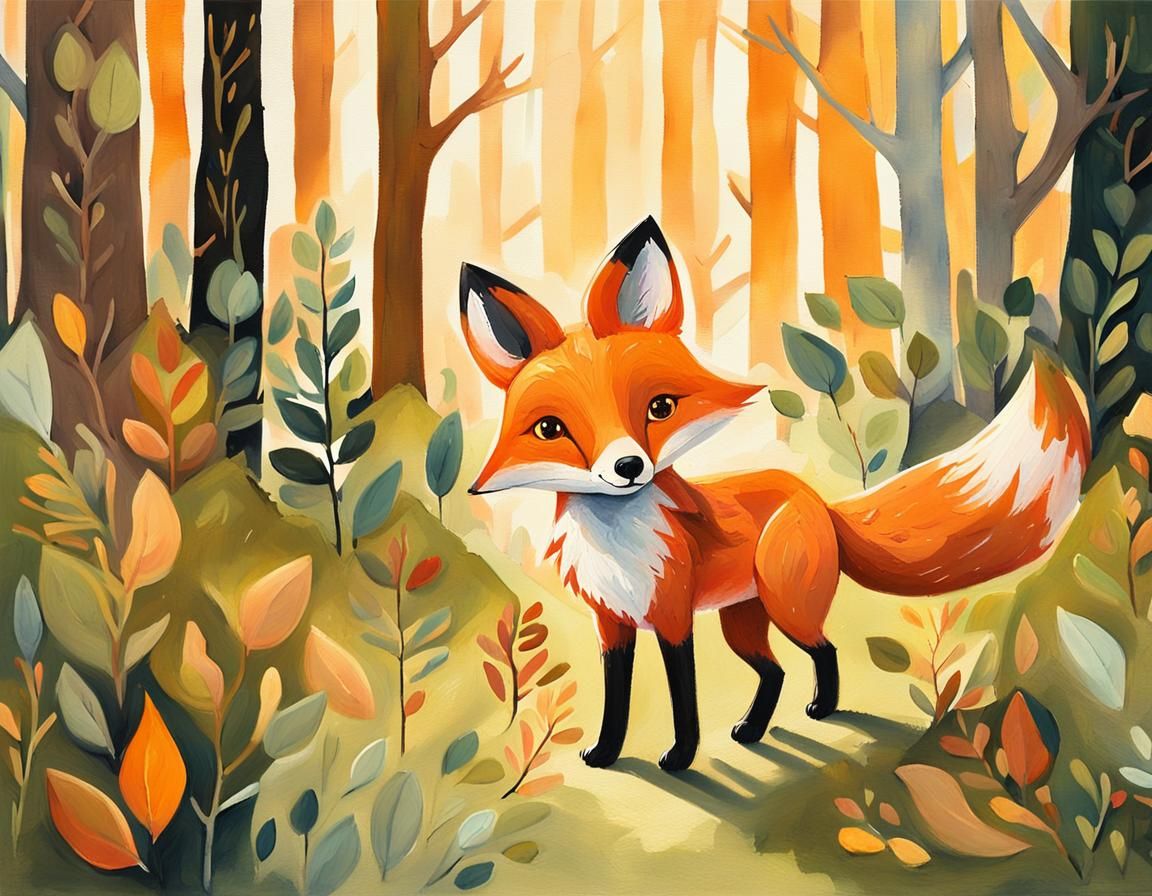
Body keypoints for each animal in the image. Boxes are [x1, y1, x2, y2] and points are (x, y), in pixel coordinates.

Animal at [459, 216, 1090, 772]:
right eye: (551, 430)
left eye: (660, 408)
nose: (629, 466)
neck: (619, 540)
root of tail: (815, 498)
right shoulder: (611, 622)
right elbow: (617, 700)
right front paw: (606, 755)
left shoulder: (673, 618)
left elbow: (683, 699)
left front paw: (680, 759)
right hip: (743, 622)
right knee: (774, 671)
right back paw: (752, 729)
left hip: (787, 606)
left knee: (822, 651)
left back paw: (822, 709)